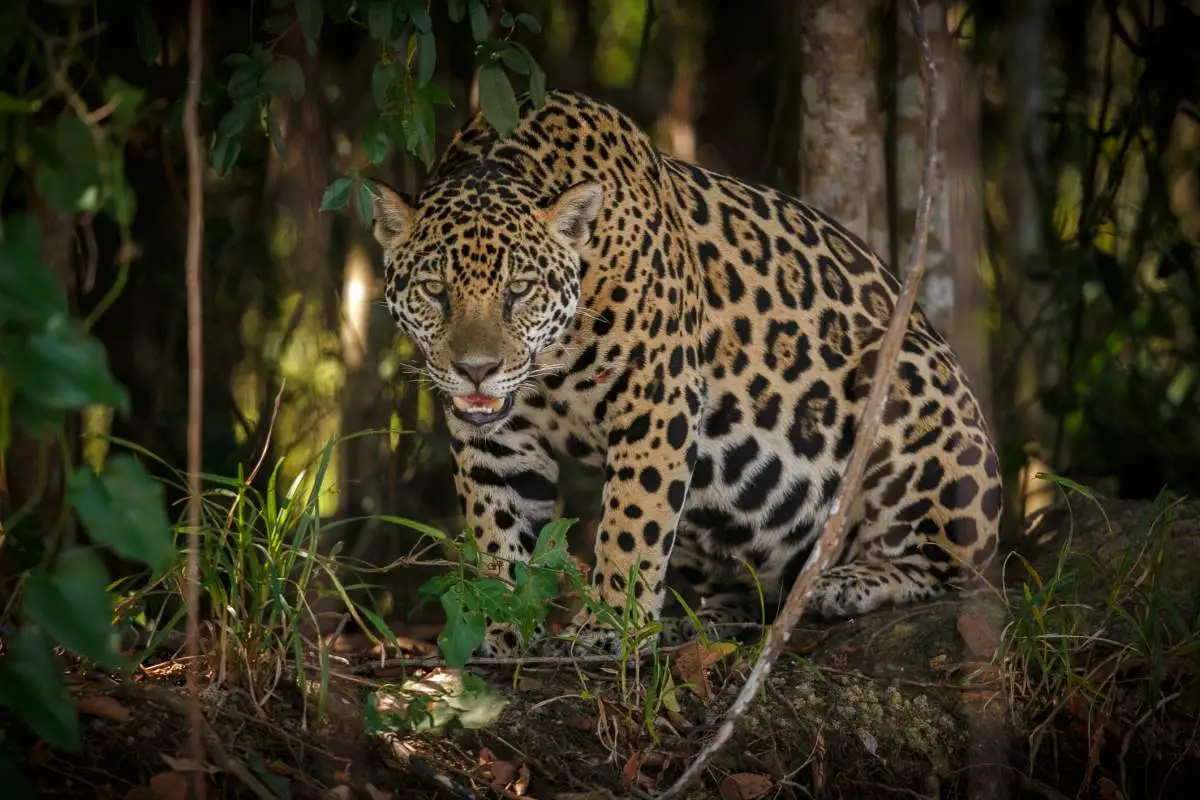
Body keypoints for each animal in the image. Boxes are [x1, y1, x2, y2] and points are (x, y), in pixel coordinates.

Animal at [370, 89, 1002, 658]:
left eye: (519, 289)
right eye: (435, 290)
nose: (476, 370)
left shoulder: (655, 399)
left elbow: (631, 524)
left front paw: (609, 627)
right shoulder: (496, 439)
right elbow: (497, 531)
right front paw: (496, 625)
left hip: (909, 390)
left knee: (952, 571)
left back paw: (845, 583)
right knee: (742, 598)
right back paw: (691, 628)